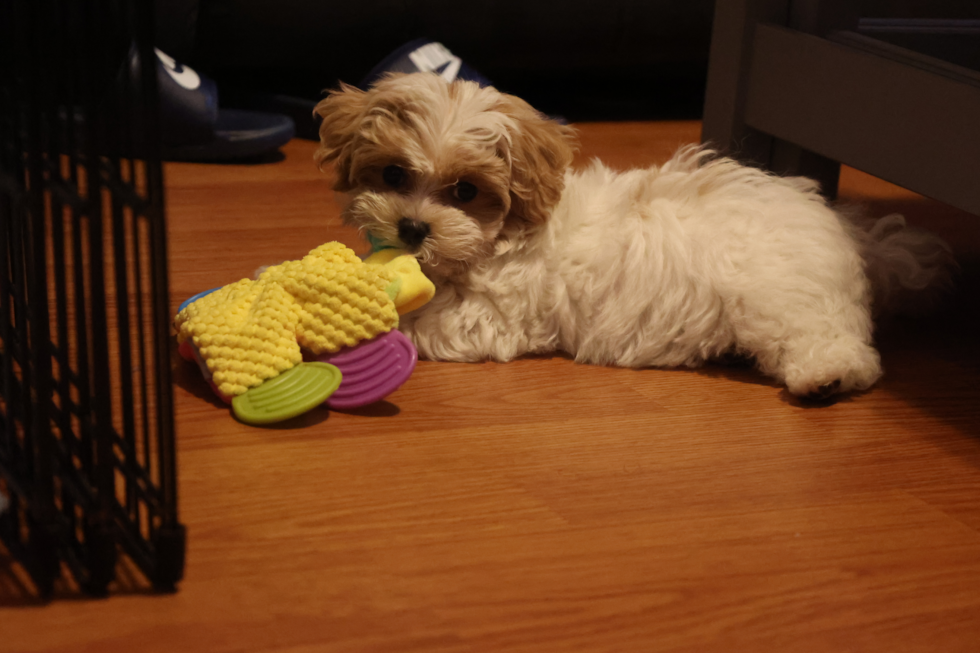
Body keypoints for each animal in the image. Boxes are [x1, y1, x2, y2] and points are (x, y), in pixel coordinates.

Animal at [316, 71, 956, 398]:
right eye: (393, 175)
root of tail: (851, 229)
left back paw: (828, 377)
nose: (412, 228)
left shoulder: (493, 315)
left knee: (833, 342)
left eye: (466, 192)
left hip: (783, 297)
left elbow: (431, 317)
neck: (504, 236)